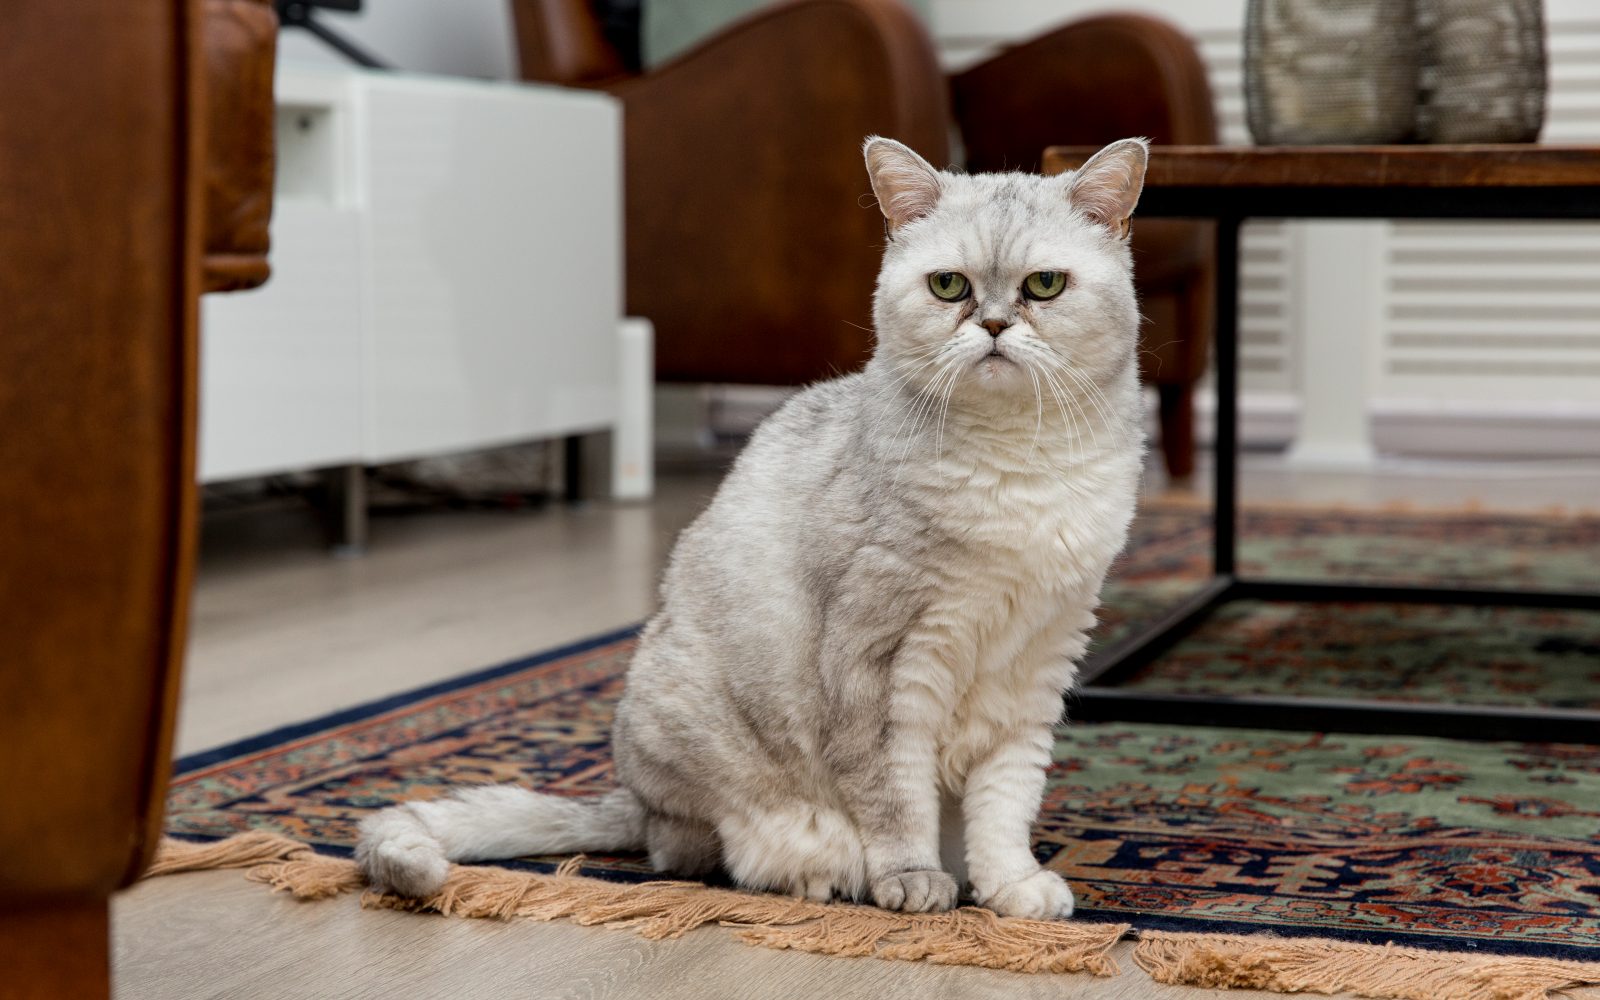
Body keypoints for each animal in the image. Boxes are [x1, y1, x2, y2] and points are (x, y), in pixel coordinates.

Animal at [356, 134, 1152, 921]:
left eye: (1043, 286)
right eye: (950, 287)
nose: (991, 326)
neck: (1018, 466)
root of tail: (634, 801)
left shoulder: (1037, 665)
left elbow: (1005, 805)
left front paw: (1010, 888)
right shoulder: (883, 661)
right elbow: (896, 798)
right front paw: (915, 881)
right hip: (693, 737)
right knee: (707, 851)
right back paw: (822, 871)